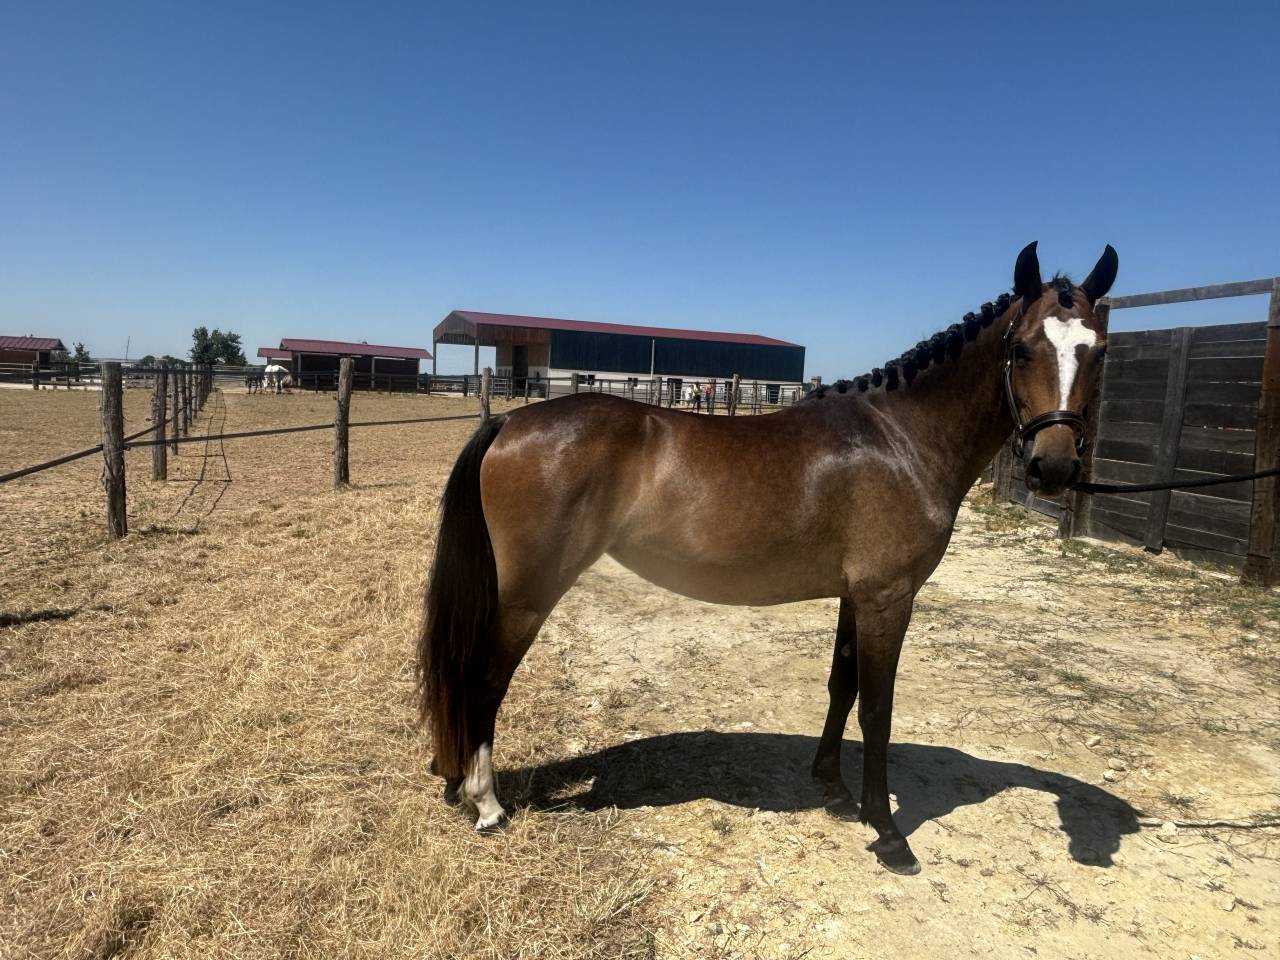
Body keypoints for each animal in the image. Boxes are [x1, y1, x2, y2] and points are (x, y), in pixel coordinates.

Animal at [418, 242, 1118, 874]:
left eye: (1098, 351)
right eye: (1021, 348)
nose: (1054, 467)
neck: (902, 438)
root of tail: (510, 423)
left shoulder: (854, 595)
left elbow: (842, 687)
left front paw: (835, 791)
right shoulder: (888, 598)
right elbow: (878, 709)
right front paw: (889, 833)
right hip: (528, 594)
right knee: (482, 677)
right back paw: (485, 804)